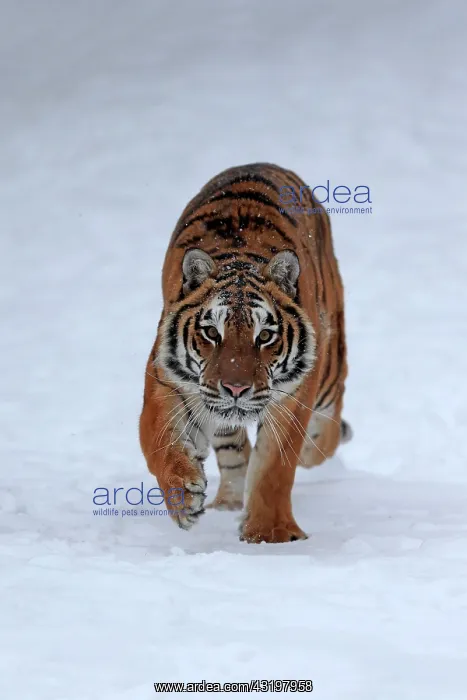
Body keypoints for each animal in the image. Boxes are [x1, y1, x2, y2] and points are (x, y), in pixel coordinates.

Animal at [139, 162, 352, 544]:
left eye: (264, 336)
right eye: (212, 332)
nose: (236, 389)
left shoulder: (293, 393)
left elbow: (275, 466)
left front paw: (270, 534)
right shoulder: (168, 380)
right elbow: (158, 439)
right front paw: (185, 495)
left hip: (329, 367)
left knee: (327, 423)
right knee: (233, 446)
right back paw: (227, 502)